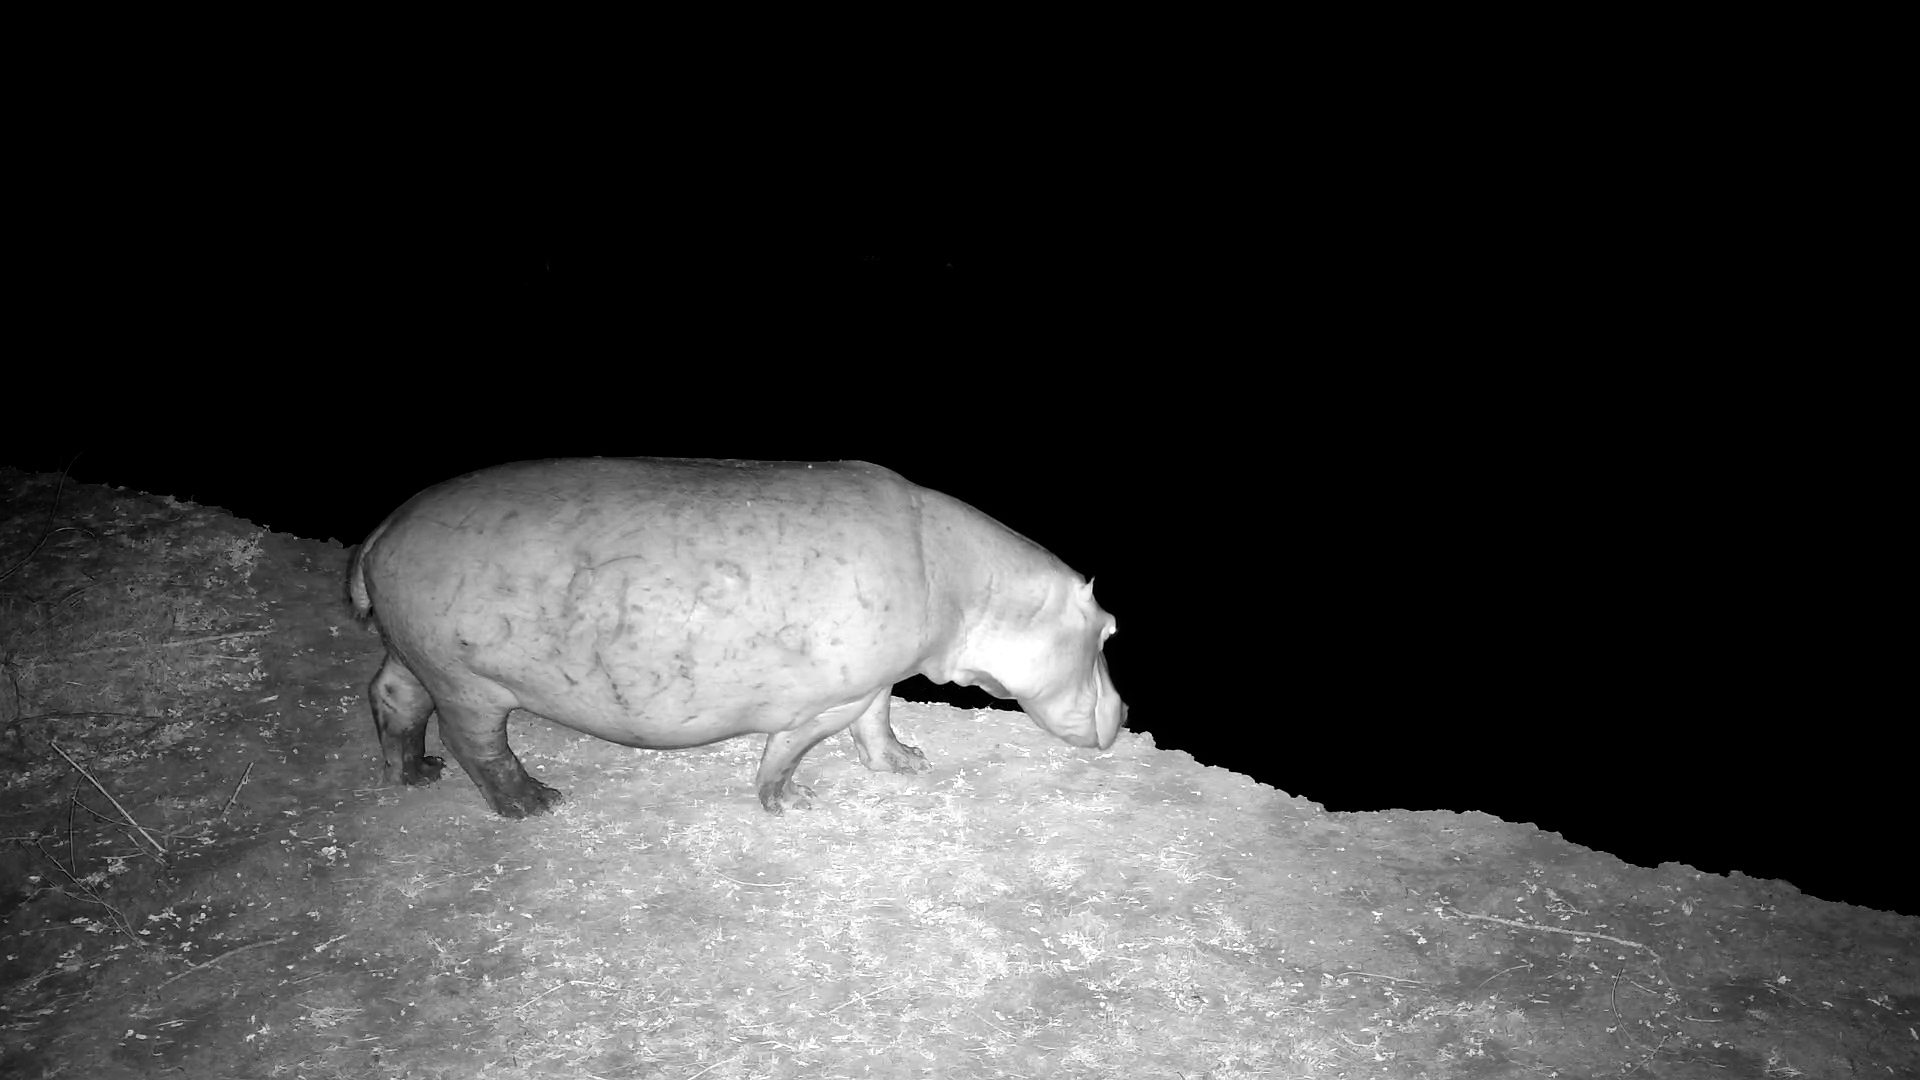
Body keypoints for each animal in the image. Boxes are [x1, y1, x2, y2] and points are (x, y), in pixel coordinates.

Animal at [346, 458, 1125, 817]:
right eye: (1110, 632)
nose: (1123, 714)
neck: (980, 589)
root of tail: (379, 533)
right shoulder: (824, 703)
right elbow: (786, 752)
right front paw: (793, 803)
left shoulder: (871, 683)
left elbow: (877, 726)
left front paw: (909, 762)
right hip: (471, 685)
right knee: (477, 746)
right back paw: (537, 803)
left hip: (416, 655)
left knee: (391, 697)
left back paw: (411, 775)